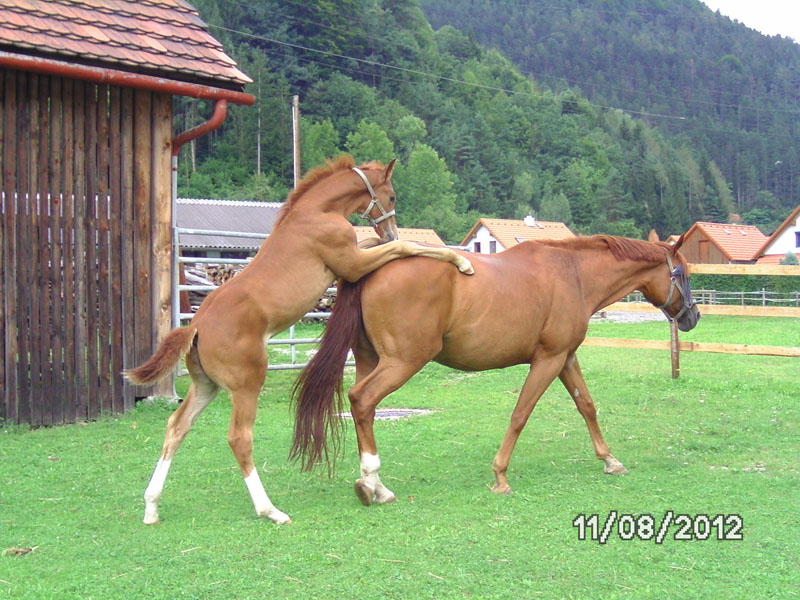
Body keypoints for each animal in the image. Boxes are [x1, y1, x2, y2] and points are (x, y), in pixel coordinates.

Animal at [124, 155, 474, 525]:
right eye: (391, 196)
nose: (390, 227)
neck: (317, 212)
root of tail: (197, 327)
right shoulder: (352, 262)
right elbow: (402, 246)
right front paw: (462, 261)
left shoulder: (354, 257)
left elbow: (383, 245)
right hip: (247, 384)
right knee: (239, 438)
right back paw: (271, 510)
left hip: (206, 385)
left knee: (176, 427)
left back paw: (151, 507)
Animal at [291, 234, 700, 506]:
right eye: (682, 272)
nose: (693, 317)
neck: (573, 274)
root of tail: (372, 266)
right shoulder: (548, 360)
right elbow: (520, 414)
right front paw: (500, 476)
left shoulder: (566, 357)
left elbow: (586, 406)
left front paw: (610, 460)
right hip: (402, 361)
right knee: (361, 400)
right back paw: (372, 483)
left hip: (369, 360)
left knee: (366, 408)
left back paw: (373, 485)